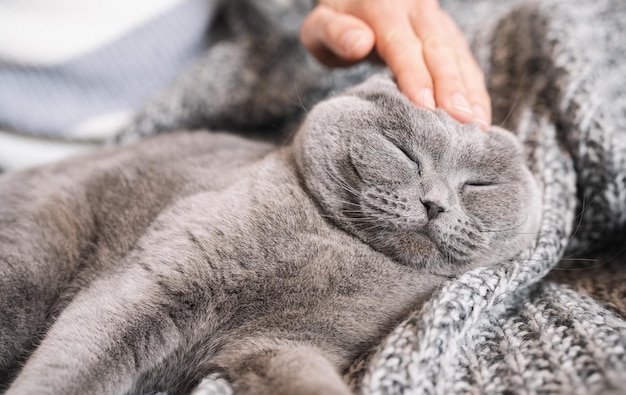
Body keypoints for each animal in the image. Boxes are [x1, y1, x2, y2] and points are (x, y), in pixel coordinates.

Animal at [0, 75, 540, 395]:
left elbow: (310, 383)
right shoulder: (156, 282)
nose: (434, 203)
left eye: (479, 185)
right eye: (402, 152)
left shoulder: (286, 344)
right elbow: (72, 369)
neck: (338, 248)